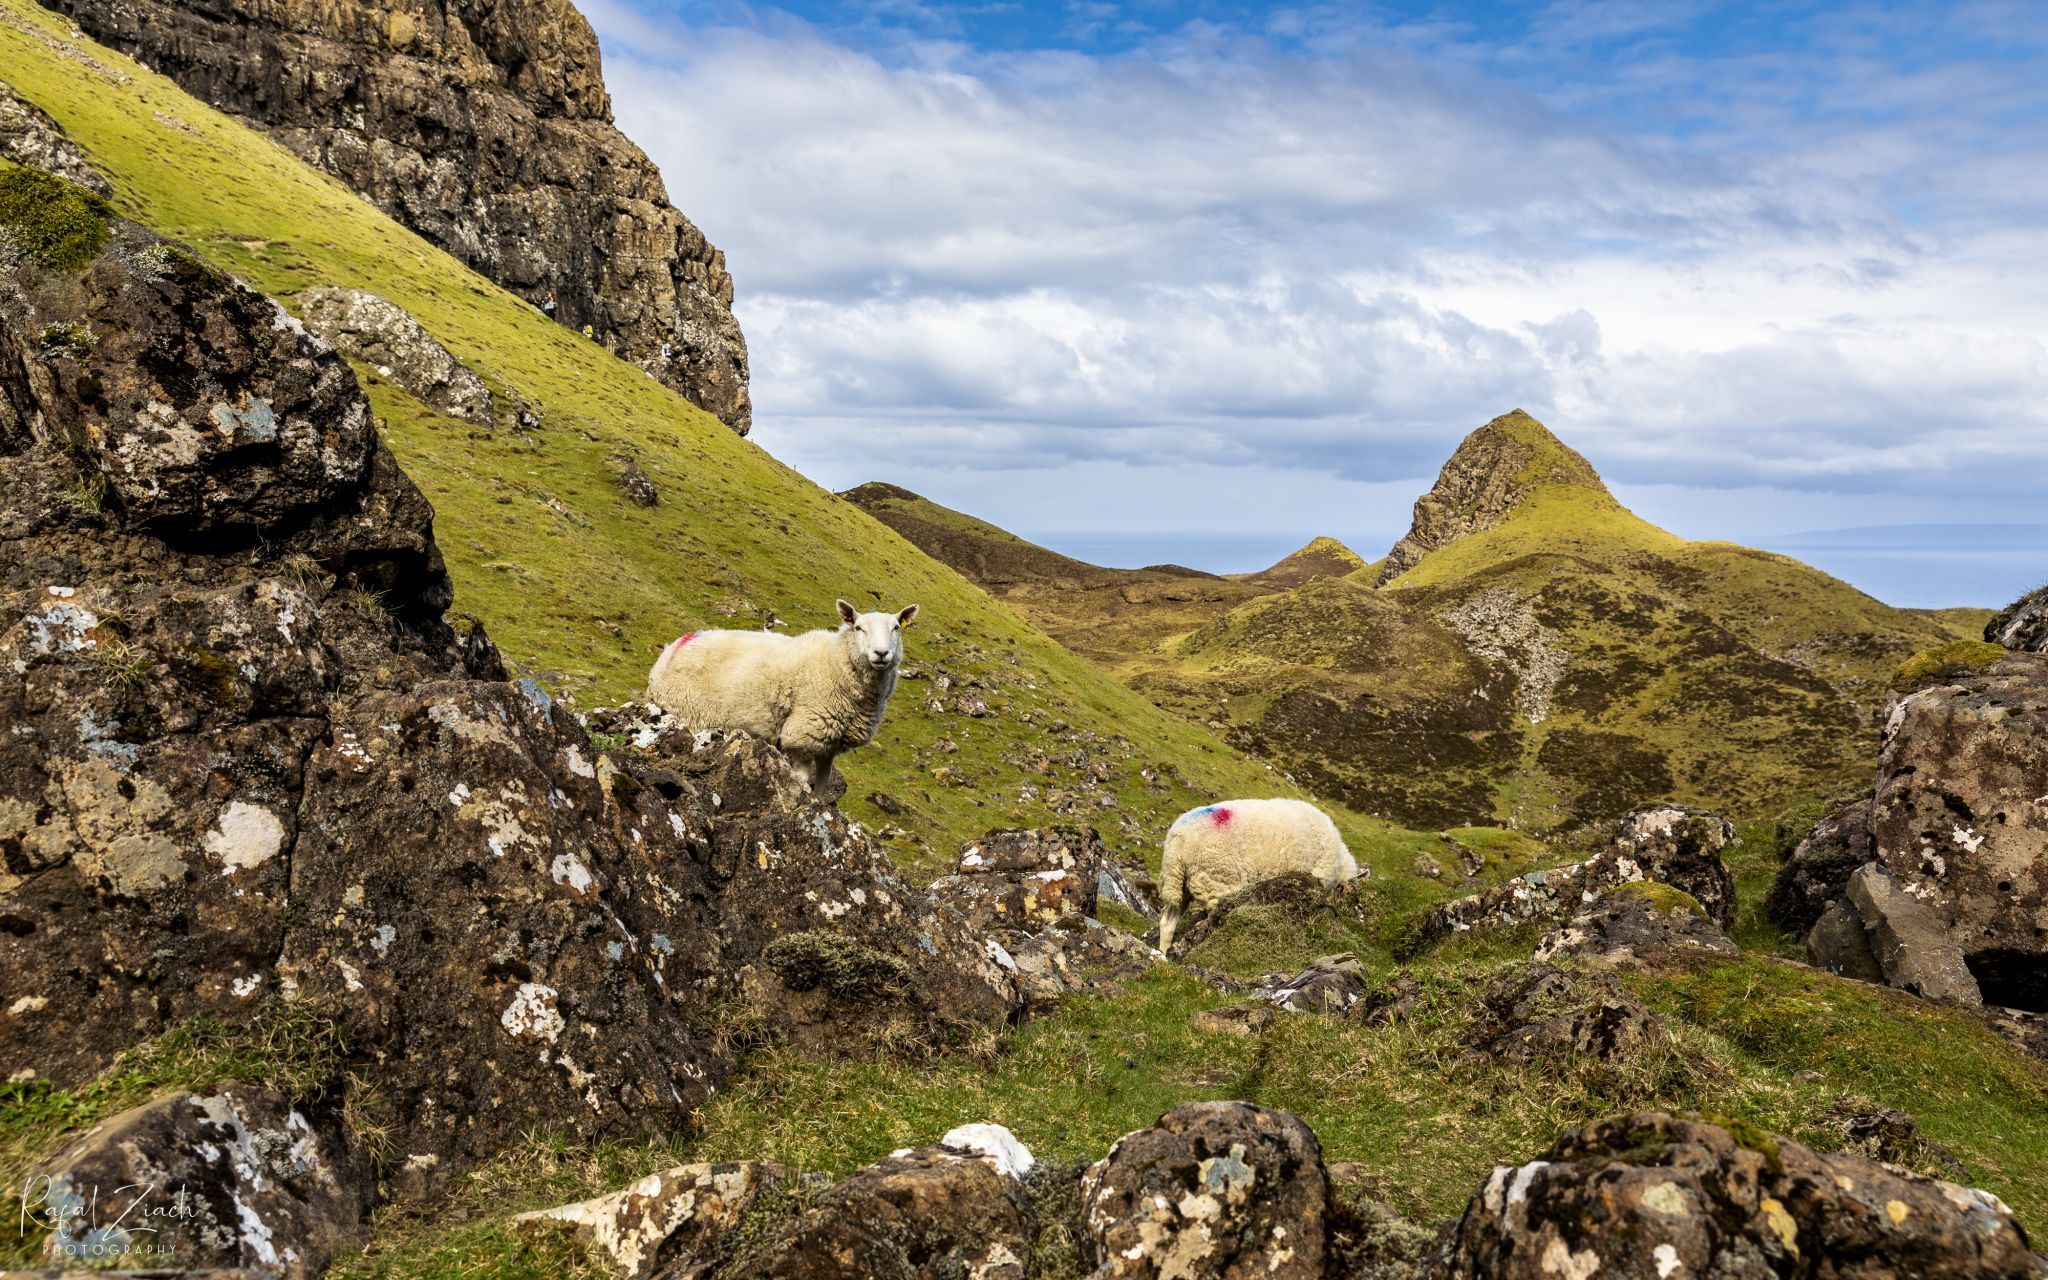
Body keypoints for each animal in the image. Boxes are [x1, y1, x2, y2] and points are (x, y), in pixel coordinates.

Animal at [645, 598, 919, 790]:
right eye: (859, 628)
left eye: (897, 627)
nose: (881, 653)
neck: (835, 662)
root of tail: (675, 646)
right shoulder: (803, 734)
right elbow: (802, 780)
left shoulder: (829, 745)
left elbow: (822, 787)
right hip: (689, 712)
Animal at [1156, 798, 1359, 954]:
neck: (1340, 863)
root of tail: (1178, 839)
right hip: (1218, 882)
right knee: (1212, 920)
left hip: (1177, 882)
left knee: (1167, 923)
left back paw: (1163, 954)